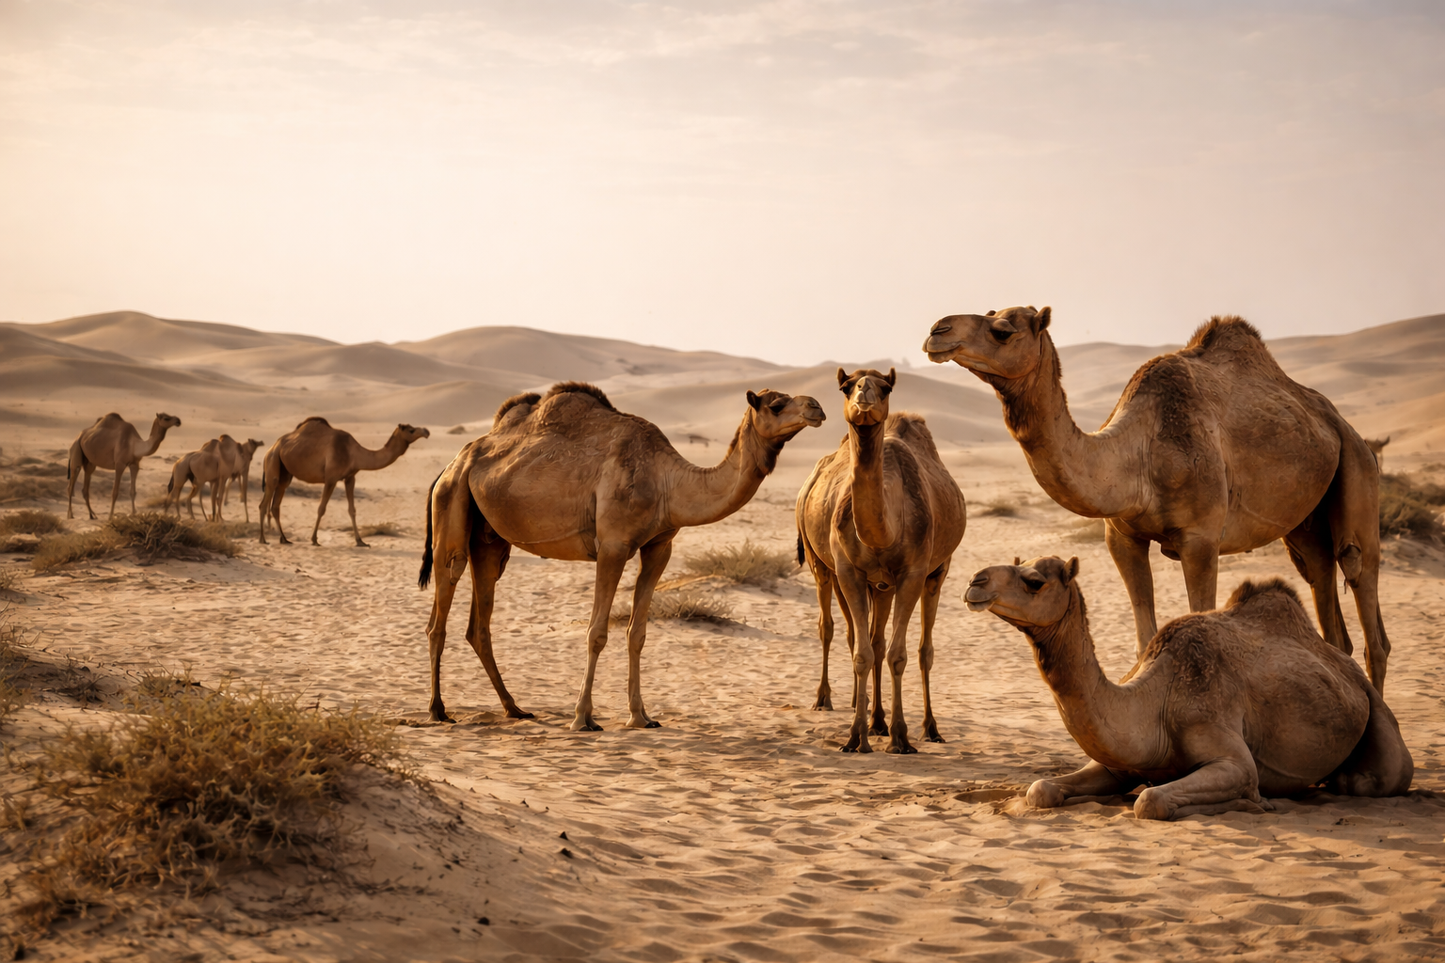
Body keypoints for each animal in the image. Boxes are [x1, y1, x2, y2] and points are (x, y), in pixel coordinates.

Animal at [258, 418, 430, 547]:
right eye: (411, 430)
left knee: (275, 505)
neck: (353, 453)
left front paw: (361, 541)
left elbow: (352, 510)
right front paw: (314, 539)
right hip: (273, 462)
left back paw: (284, 539)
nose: (426, 431)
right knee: (264, 502)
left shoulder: (350, 478)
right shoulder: (331, 478)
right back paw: (263, 539)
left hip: (285, 473)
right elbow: (321, 508)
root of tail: (271, 447)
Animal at [419, 382, 825, 730]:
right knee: (442, 599)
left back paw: (514, 708)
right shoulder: (612, 546)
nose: (817, 407)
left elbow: (637, 633)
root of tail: (453, 462)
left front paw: (640, 716)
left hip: (489, 538)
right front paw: (583, 717)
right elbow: (597, 632)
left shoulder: (659, 547)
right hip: (452, 500)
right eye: (776, 405)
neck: (667, 482)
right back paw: (437, 710)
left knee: (480, 619)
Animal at [795, 369, 966, 754]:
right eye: (846, 386)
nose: (864, 396)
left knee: (918, 648)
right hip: (822, 566)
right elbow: (862, 653)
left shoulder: (913, 574)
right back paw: (836, 705)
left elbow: (898, 654)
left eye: (885, 388)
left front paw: (900, 737)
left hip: (932, 573)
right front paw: (855, 736)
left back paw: (919, 726)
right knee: (837, 630)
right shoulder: (849, 572)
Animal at [923, 308, 1391, 691]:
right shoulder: (1122, 537)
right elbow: (1145, 637)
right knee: (1324, 590)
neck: (1137, 454)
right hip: (1305, 524)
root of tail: (1338, 422)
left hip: (1357, 466)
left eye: (1002, 330)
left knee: (1363, 586)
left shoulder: (1201, 540)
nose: (936, 331)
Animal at [964, 555, 1413, 820]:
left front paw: (1253, 800)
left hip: (1377, 715)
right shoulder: (1115, 761)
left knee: (1373, 779)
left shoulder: (1229, 751)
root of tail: (1346, 668)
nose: (975, 580)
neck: (1155, 703)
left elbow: (1153, 799)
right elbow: (1040, 790)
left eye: (1034, 581)